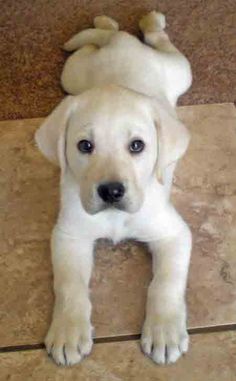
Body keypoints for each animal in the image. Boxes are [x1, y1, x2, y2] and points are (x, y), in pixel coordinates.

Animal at [36, 11, 193, 366]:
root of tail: (122, 44)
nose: (111, 192)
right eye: (84, 146)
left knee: (162, 43)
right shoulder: (69, 236)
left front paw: (165, 332)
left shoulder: (174, 234)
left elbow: (165, 283)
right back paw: (105, 22)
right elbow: (69, 286)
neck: (114, 217)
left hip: (180, 71)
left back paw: (149, 22)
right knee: (96, 41)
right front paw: (68, 332)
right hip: (72, 73)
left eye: (137, 146)